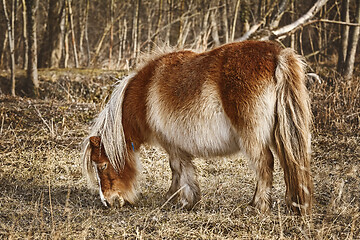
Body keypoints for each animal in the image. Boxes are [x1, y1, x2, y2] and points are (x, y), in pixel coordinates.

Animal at [81, 40, 312, 215]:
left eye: (102, 165)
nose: (107, 202)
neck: (144, 94)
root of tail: (277, 54)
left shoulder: (171, 144)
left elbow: (178, 169)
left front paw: (181, 200)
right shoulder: (177, 144)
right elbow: (181, 170)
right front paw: (178, 198)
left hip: (252, 136)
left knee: (265, 163)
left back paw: (257, 205)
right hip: (280, 133)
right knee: (290, 162)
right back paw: (293, 204)